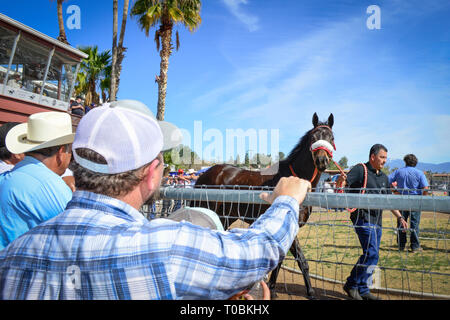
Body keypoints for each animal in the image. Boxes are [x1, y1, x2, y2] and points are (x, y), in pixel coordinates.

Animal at [195, 113, 336, 300]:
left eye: (331, 137)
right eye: (313, 138)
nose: (322, 160)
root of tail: (204, 174)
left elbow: (293, 260)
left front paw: (301, 291)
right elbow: (291, 259)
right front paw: (279, 290)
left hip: (226, 217)